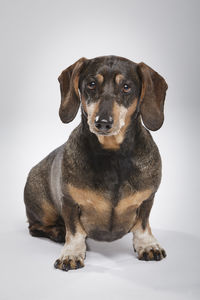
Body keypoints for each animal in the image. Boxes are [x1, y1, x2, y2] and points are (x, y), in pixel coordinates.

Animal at [24, 55, 168, 270]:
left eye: (126, 87)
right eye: (91, 84)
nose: (102, 122)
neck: (113, 156)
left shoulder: (147, 199)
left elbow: (142, 225)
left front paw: (148, 245)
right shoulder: (69, 202)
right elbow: (75, 232)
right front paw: (71, 254)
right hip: (43, 209)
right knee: (35, 227)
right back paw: (58, 231)